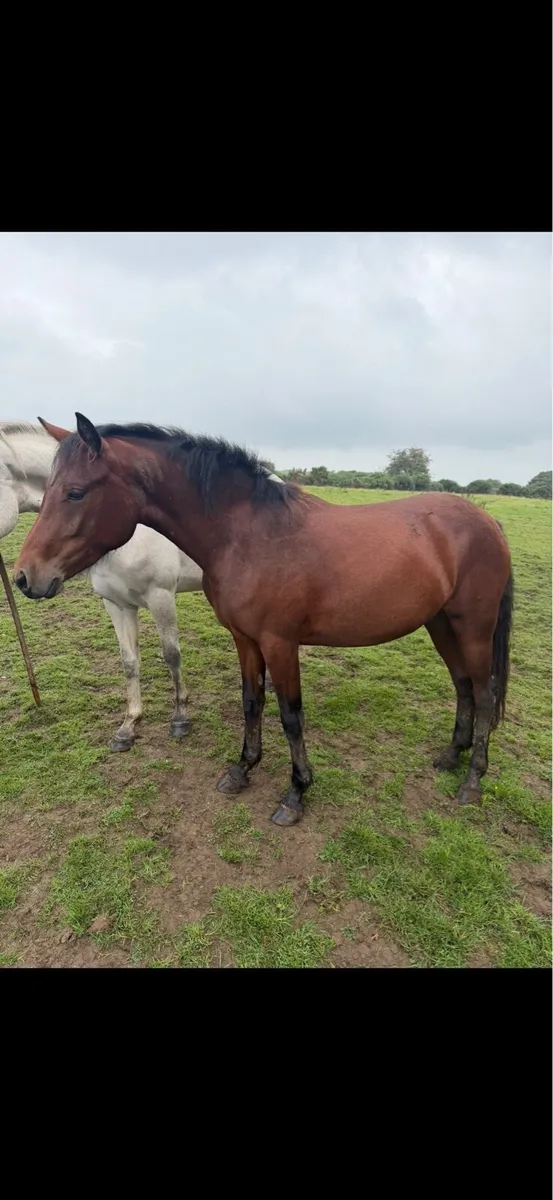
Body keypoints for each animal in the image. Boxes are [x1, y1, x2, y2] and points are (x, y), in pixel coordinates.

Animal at [14, 413, 514, 828]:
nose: (24, 576)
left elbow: (290, 715)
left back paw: (472, 780)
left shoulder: (279, 642)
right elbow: (251, 702)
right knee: (463, 686)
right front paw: (242, 769)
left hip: (473, 626)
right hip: (442, 624)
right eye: (47, 489)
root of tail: (487, 520)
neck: (247, 535)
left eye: (75, 492)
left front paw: (296, 793)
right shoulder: (245, 639)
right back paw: (451, 756)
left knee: (484, 693)